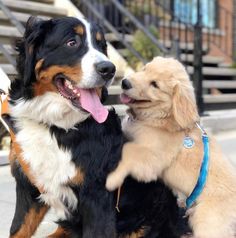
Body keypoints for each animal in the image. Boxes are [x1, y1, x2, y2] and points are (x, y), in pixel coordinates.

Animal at [3, 15, 186, 237]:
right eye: (72, 42)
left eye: (101, 45)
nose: (109, 69)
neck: (55, 125)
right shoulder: (27, 186)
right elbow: (18, 228)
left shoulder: (96, 195)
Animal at [107, 56, 236, 237]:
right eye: (145, 69)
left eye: (154, 84)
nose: (125, 82)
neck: (158, 118)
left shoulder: (150, 161)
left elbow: (128, 151)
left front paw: (112, 179)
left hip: (208, 225)